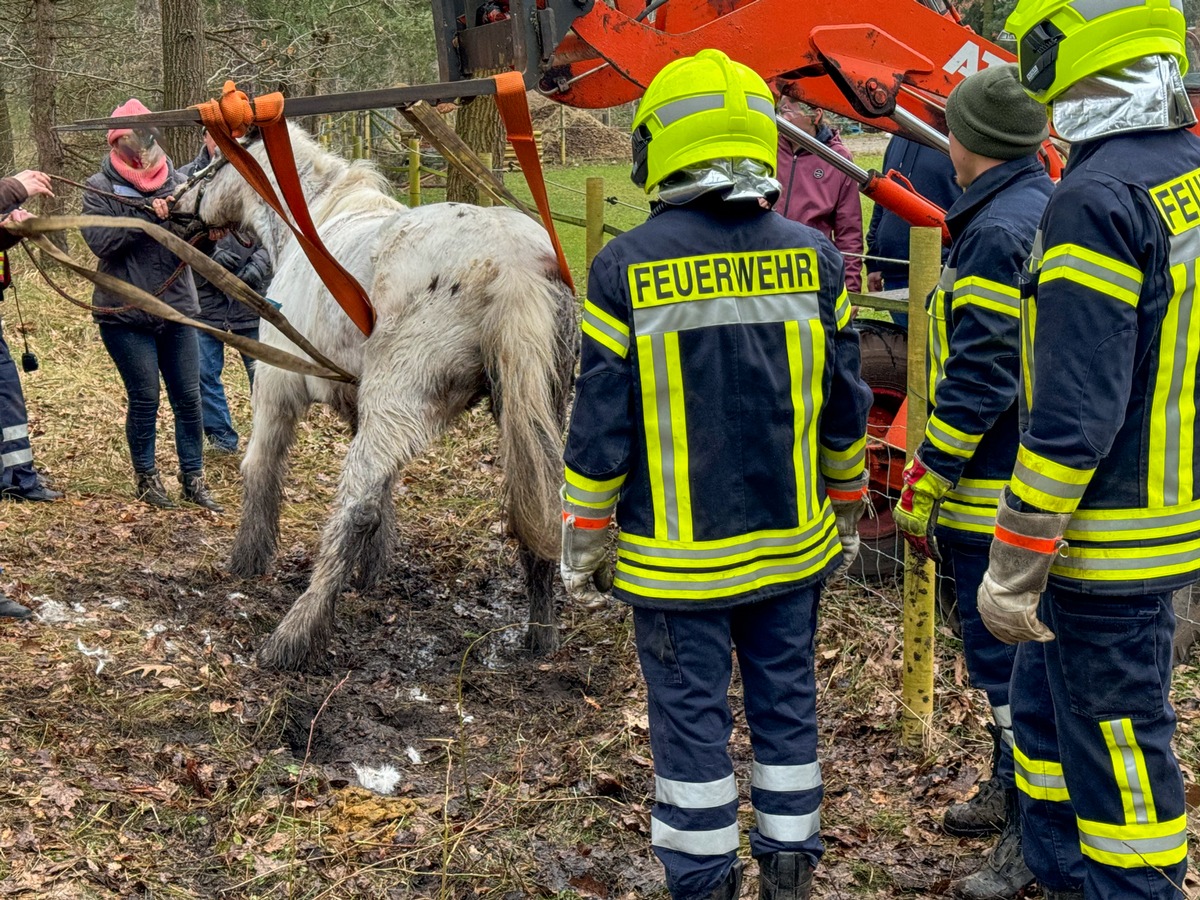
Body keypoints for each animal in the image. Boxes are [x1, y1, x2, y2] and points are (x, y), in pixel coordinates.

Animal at [177, 125, 580, 672]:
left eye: (205, 163)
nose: (172, 202)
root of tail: (514, 264)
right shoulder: (356, 403)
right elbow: (386, 491)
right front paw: (372, 572)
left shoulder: (277, 386)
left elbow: (262, 468)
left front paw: (248, 560)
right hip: (534, 408)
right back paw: (541, 636)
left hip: (398, 399)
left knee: (354, 508)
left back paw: (293, 636)